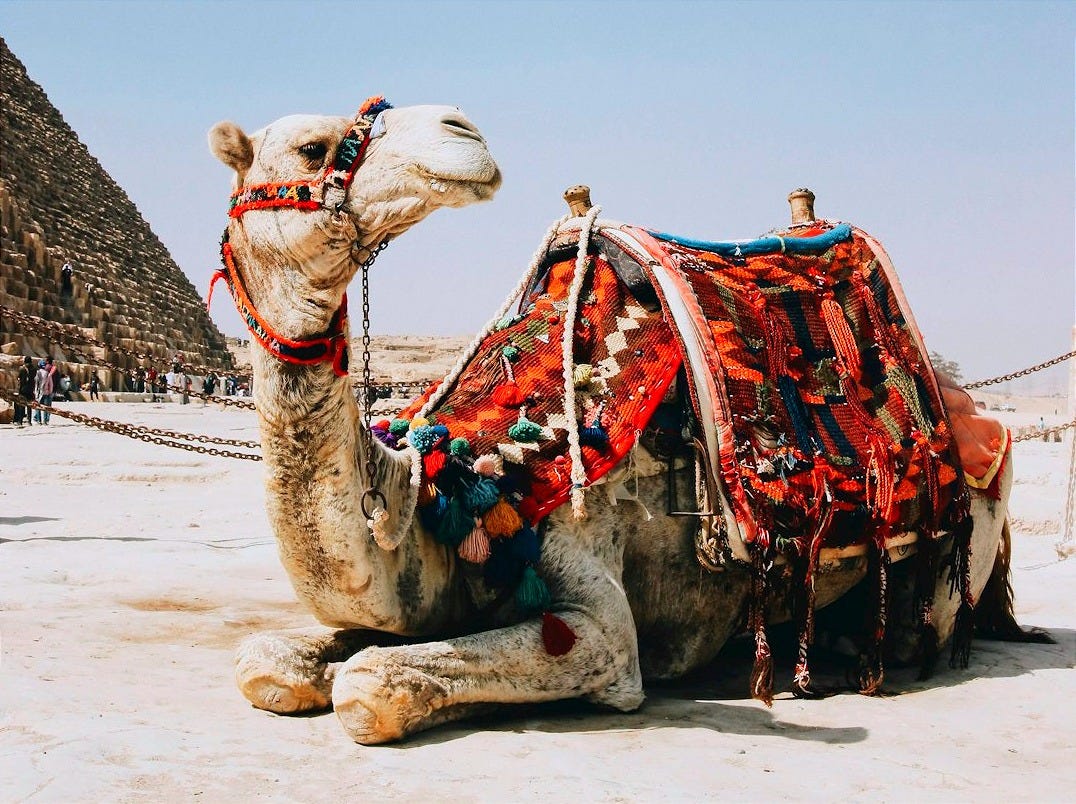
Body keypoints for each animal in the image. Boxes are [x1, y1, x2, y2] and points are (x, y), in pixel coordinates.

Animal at [208, 100, 1039, 745]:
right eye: (312, 148)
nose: (461, 128)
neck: (464, 488)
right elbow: (266, 663)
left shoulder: (603, 627)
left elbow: (370, 685)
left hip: (962, 539)